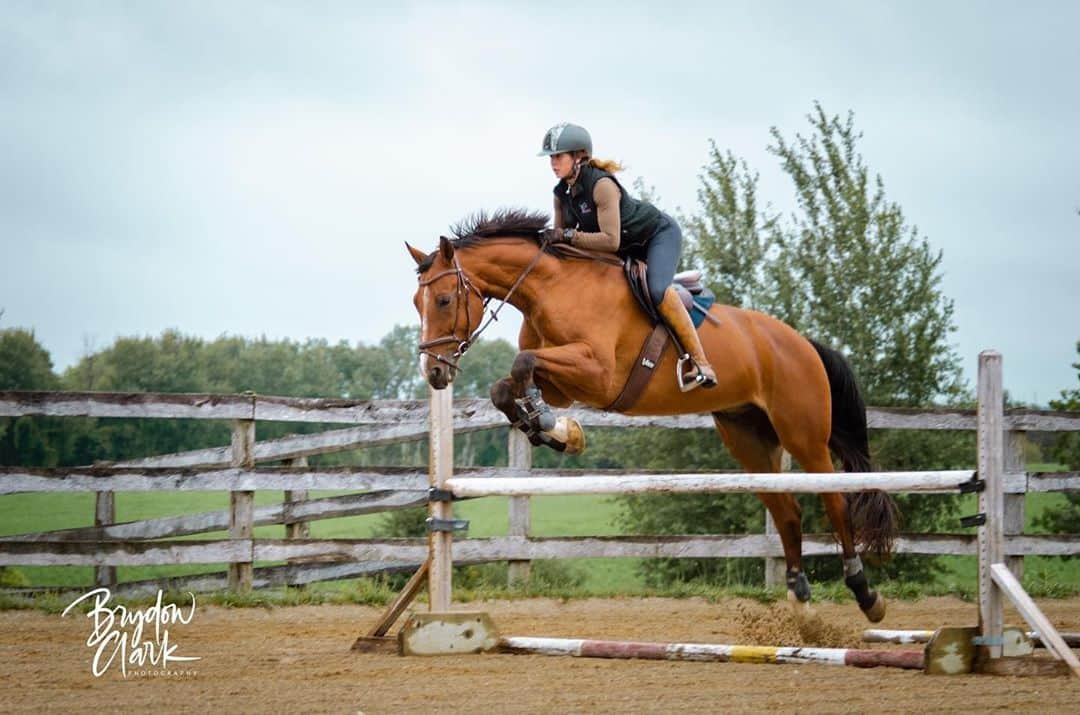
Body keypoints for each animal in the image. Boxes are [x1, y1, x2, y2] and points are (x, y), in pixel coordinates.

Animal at [407, 208, 898, 623]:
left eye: (445, 300)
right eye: (417, 303)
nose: (433, 372)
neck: (551, 288)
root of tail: (802, 343)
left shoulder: (598, 374)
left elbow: (522, 363)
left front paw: (550, 426)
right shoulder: (565, 383)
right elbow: (507, 385)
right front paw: (557, 431)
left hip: (804, 435)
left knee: (835, 501)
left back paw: (865, 593)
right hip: (748, 438)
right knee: (787, 511)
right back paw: (801, 600)